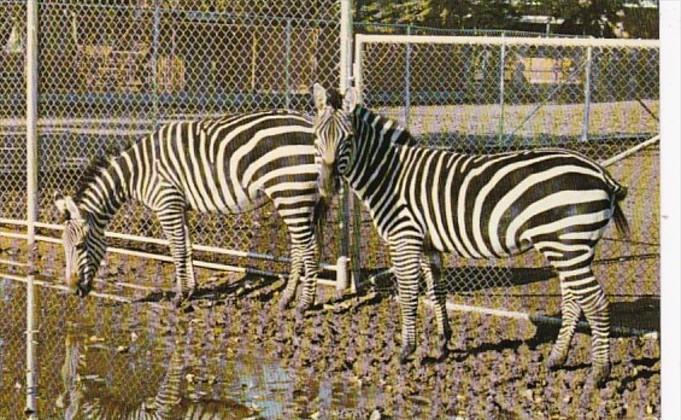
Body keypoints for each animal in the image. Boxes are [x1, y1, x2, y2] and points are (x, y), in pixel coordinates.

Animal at [54, 110, 326, 310]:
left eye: (80, 246)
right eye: (64, 246)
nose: (72, 290)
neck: (136, 172)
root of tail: (311, 124)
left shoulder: (166, 204)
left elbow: (176, 249)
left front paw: (178, 297)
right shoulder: (179, 205)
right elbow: (187, 247)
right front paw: (191, 290)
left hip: (291, 191)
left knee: (309, 248)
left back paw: (304, 304)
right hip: (297, 197)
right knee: (300, 248)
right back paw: (286, 299)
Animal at [310, 83, 628, 386]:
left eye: (348, 139)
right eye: (315, 137)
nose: (325, 187)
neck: (390, 175)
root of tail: (602, 174)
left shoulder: (405, 238)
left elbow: (409, 294)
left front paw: (406, 349)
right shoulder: (427, 244)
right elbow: (436, 292)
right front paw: (443, 343)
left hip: (569, 246)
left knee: (596, 302)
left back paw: (599, 373)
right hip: (569, 248)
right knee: (574, 301)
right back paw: (556, 359)